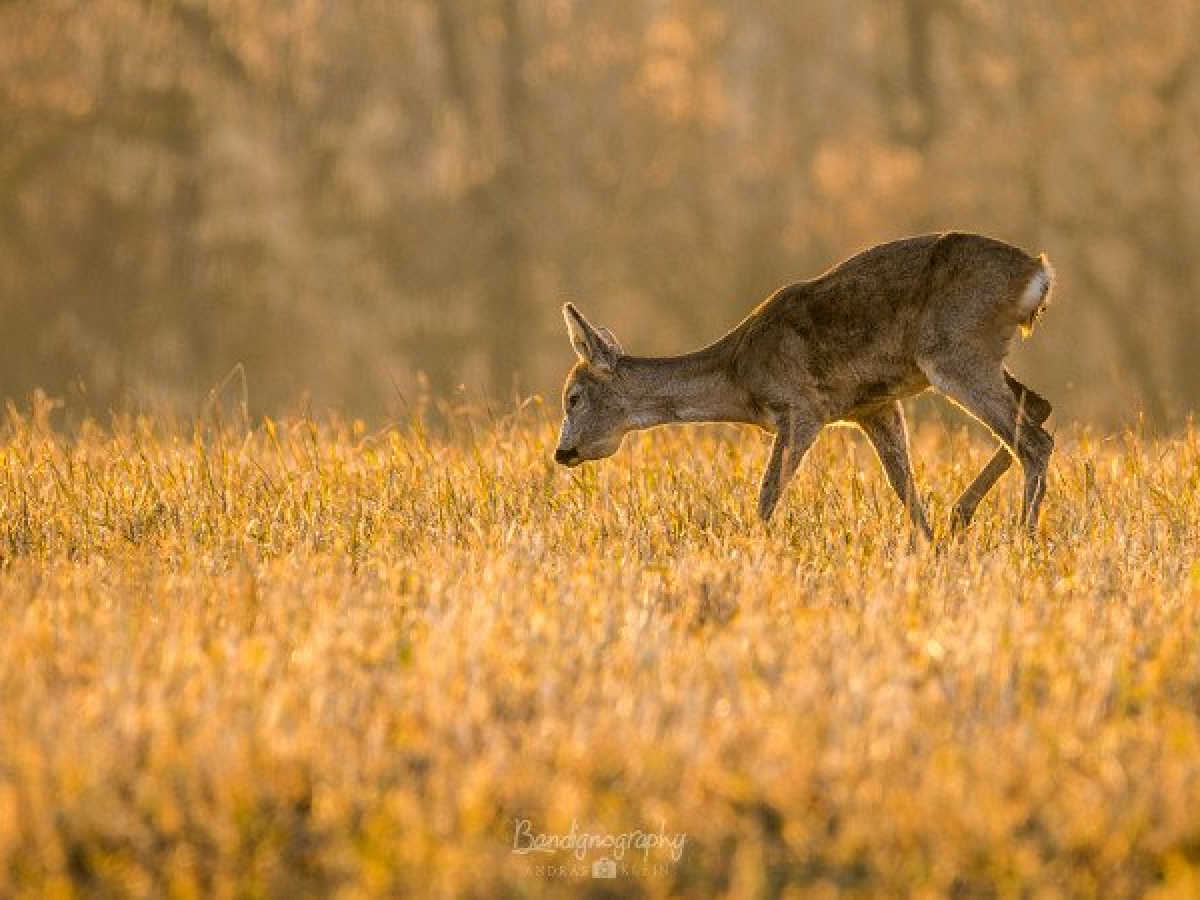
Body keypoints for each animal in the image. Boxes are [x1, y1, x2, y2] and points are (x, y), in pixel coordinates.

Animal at [549, 236, 1051, 540]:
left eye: (573, 398)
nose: (561, 452)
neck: (739, 375)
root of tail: (1038, 274)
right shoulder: (873, 405)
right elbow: (904, 486)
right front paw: (930, 547)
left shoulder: (803, 407)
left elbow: (768, 493)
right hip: (975, 357)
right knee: (1039, 408)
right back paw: (962, 517)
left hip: (956, 351)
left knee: (1034, 440)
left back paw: (1020, 541)